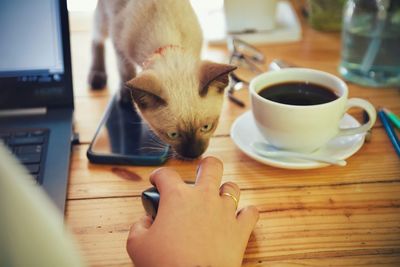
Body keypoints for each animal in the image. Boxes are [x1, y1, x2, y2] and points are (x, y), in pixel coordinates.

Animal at [89, 0, 236, 159]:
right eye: (173, 134)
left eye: (206, 127)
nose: (193, 155)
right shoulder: (120, 49)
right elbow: (125, 73)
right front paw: (126, 98)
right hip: (104, 19)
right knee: (96, 38)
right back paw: (96, 77)